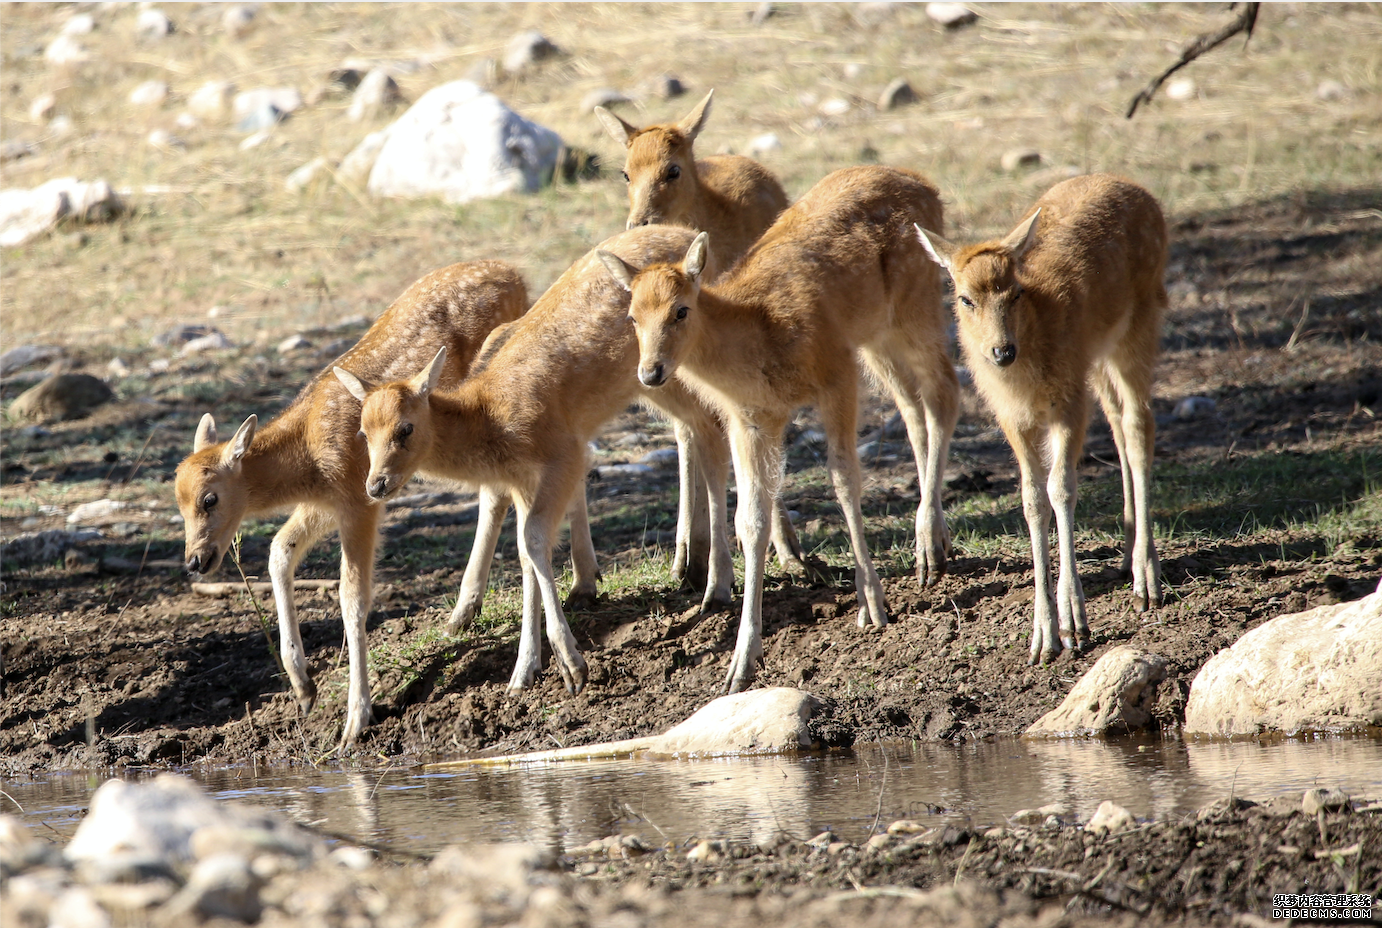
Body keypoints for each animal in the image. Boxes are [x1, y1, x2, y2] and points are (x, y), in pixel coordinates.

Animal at [169, 260, 597, 746]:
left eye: (210, 498)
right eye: (177, 502)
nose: (195, 560)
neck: (307, 455)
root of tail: (515, 273)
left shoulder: (358, 499)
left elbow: (352, 597)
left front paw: (356, 719)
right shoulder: (328, 501)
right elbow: (279, 550)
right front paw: (303, 686)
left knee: (509, 485)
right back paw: (558, 587)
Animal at [331, 226, 746, 697]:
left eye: (405, 429)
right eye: (363, 433)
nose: (376, 485)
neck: (492, 418)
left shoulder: (564, 453)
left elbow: (531, 540)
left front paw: (572, 664)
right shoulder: (522, 481)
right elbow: (526, 551)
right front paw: (523, 672)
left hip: (672, 370)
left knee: (715, 429)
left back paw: (720, 585)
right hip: (656, 382)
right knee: (701, 429)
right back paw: (702, 569)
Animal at [588, 90, 807, 578]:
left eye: (672, 169)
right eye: (625, 171)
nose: (639, 223)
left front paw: (788, 551)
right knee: (686, 433)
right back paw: (686, 554)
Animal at [599, 163, 967, 694]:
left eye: (680, 309)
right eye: (631, 317)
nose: (650, 372)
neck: (762, 337)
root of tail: (926, 186)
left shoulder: (836, 373)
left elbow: (844, 481)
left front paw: (872, 605)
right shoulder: (752, 419)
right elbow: (749, 520)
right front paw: (740, 662)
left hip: (916, 306)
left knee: (944, 394)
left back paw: (929, 549)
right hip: (876, 338)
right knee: (913, 410)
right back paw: (933, 542)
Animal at [917, 174, 1166, 663]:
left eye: (1014, 292)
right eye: (965, 299)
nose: (1001, 350)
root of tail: (1139, 190)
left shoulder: (1068, 402)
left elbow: (1062, 489)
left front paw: (1074, 624)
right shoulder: (1013, 419)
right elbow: (1032, 499)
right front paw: (1042, 636)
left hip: (1139, 323)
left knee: (1138, 424)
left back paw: (1145, 577)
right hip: (1097, 357)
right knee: (1116, 420)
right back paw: (1127, 552)